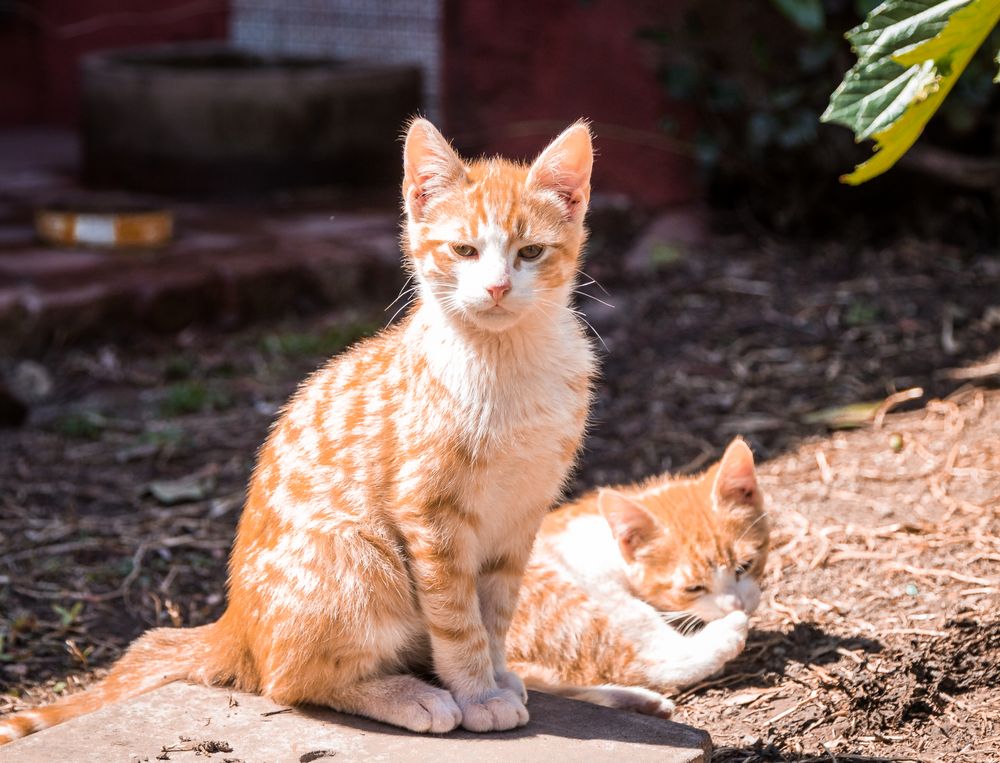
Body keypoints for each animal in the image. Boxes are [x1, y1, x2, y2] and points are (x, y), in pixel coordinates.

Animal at [0, 121, 592, 748]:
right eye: (464, 251)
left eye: (530, 252)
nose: (499, 288)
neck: (506, 363)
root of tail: (233, 624)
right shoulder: (430, 515)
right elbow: (458, 620)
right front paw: (477, 692)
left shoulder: (520, 516)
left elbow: (496, 612)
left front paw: (498, 675)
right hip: (361, 554)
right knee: (286, 681)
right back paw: (408, 696)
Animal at [508, 438, 764, 720]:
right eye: (693, 588)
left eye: (745, 566)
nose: (737, 605)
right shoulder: (587, 570)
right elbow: (638, 617)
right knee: (633, 661)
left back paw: (635, 700)